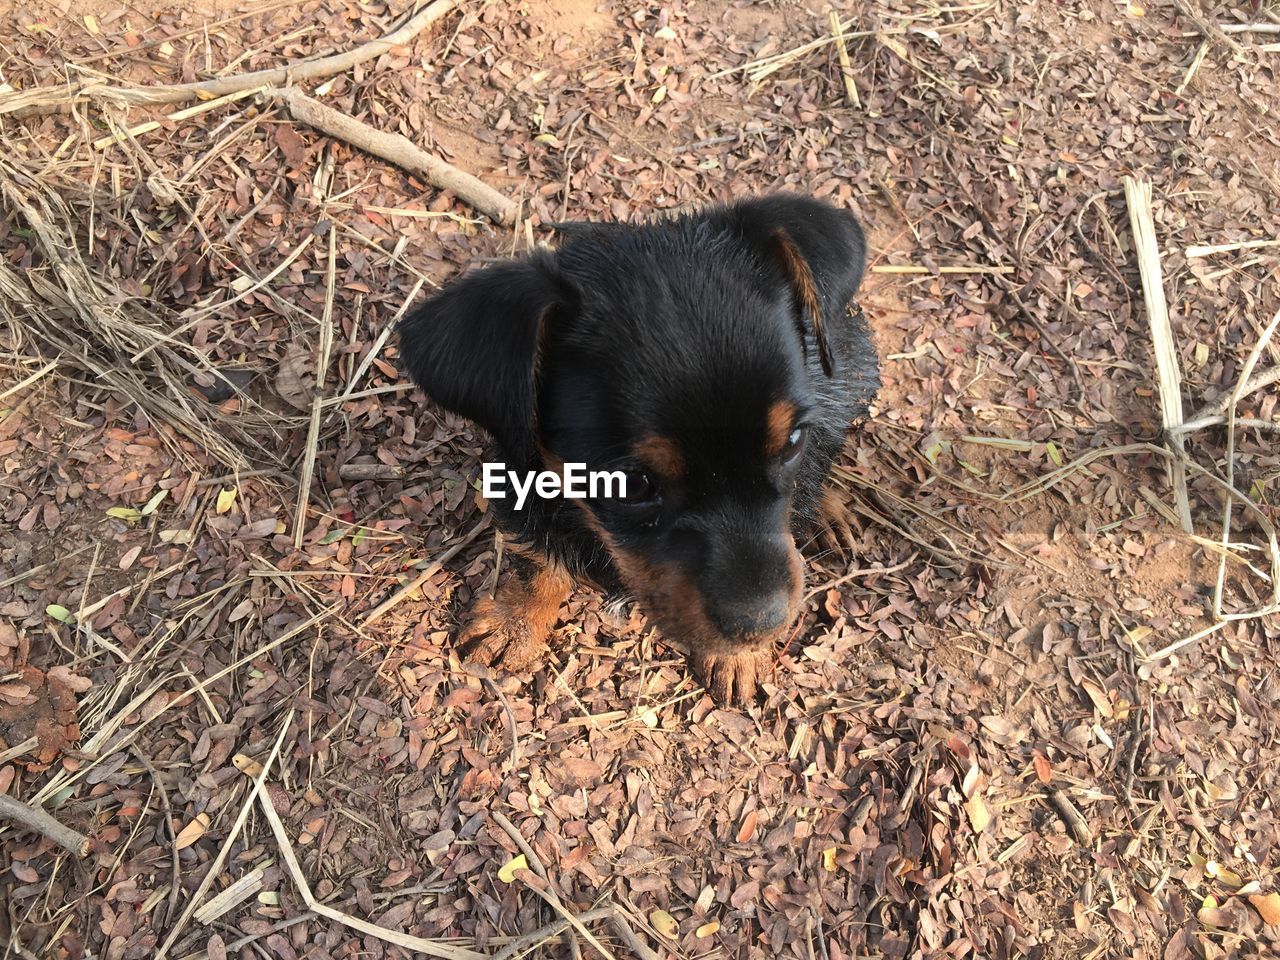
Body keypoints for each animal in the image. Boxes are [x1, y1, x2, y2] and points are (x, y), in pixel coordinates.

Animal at [399, 197, 880, 706]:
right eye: (631, 485)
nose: (761, 627)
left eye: (791, 442)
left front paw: (737, 656)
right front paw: (516, 621)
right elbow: (542, 556)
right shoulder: (520, 475)